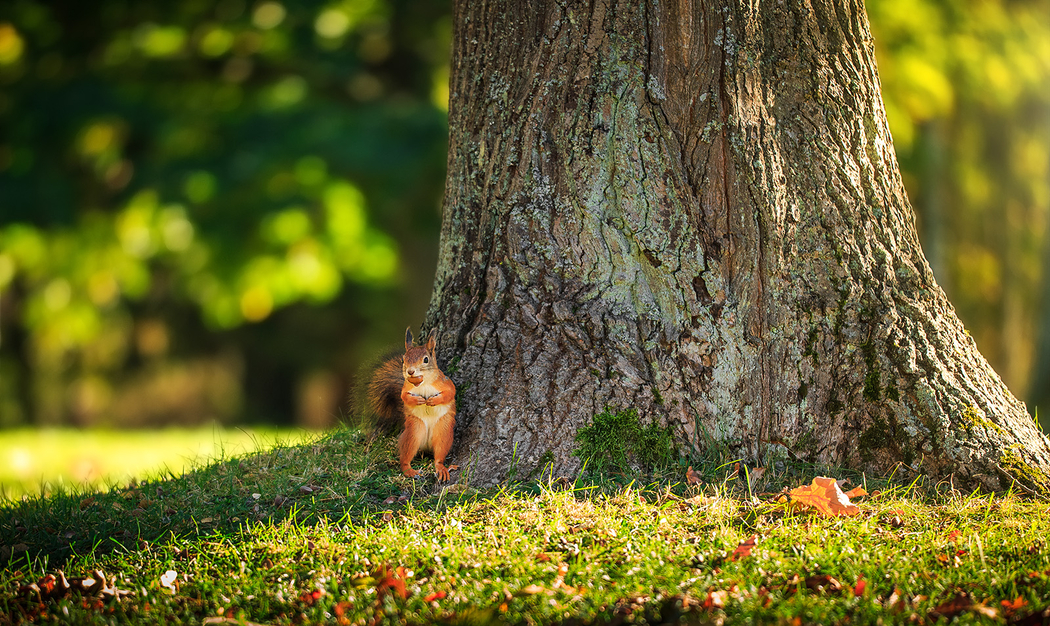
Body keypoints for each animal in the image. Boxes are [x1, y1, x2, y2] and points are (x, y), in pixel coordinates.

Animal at [367, 327, 453, 478]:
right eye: (403, 359)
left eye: (426, 359)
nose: (410, 371)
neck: (423, 383)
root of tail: (426, 447)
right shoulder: (405, 388)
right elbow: (404, 397)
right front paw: (417, 400)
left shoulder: (446, 383)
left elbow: (450, 393)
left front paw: (433, 400)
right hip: (413, 432)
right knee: (406, 455)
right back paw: (409, 470)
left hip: (444, 431)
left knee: (439, 453)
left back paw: (441, 467)